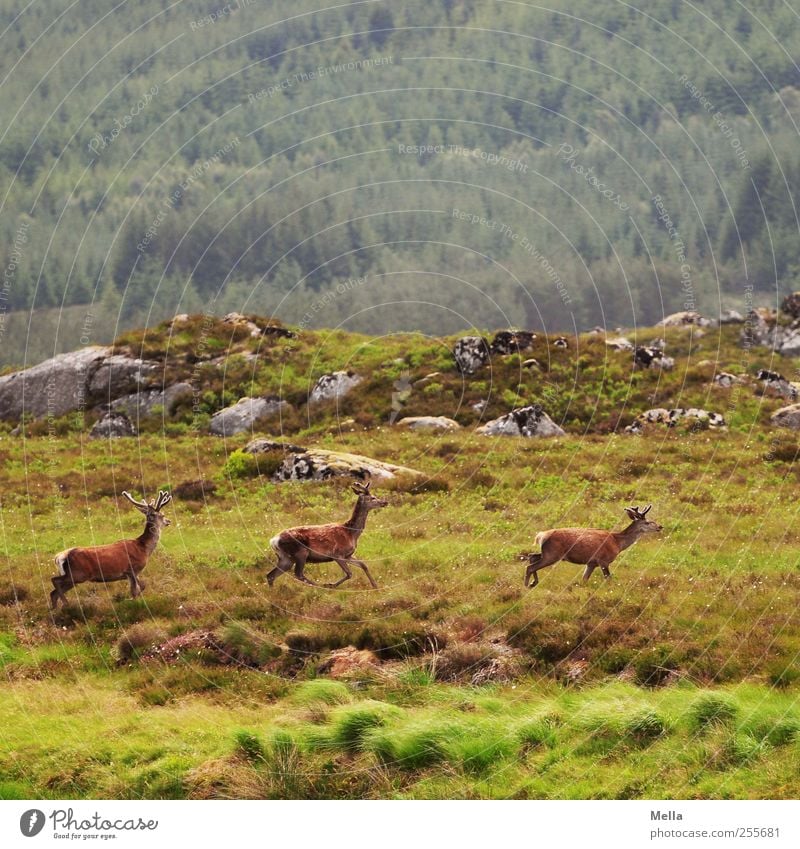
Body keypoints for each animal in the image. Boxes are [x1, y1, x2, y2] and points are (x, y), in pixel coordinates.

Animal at [520, 506, 664, 588]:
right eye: (647, 522)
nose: (660, 526)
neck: (617, 542)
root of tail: (541, 535)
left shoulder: (591, 563)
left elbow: (584, 579)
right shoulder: (603, 560)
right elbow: (608, 579)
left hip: (547, 553)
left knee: (532, 557)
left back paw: (533, 583)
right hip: (553, 554)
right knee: (530, 566)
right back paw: (526, 586)